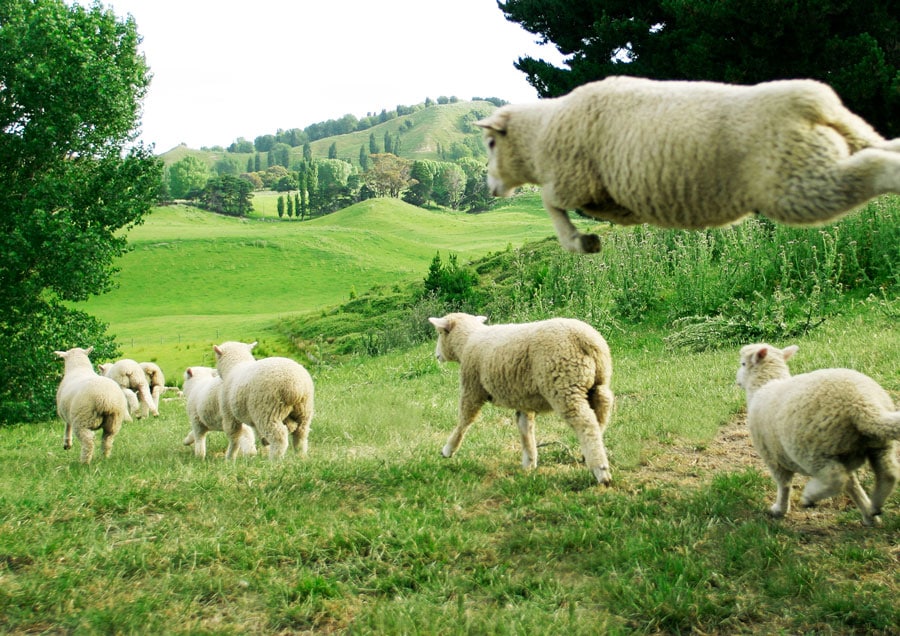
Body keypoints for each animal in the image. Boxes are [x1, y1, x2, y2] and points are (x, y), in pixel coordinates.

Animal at [428, 314, 612, 486]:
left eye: (439, 333)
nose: (436, 356)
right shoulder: (523, 400)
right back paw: (588, 454)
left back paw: (600, 470)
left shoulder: (472, 388)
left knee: (586, 423)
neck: (467, 341)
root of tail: (587, 339)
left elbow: (465, 420)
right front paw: (529, 463)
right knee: (602, 410)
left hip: (564, 385)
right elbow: (525, 429)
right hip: (598, 383)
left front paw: (448, 449)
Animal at [482, 75, 900, 253]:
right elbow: (552, 202)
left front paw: (579, 241)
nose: (490, 189)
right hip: (842, 142)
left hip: (797, 184)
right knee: (885, 147)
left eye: (489, 143)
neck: (541, 133)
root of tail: (814, 101)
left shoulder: (573, 179)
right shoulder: (612, 201)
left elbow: (548, 201)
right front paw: (583, 239)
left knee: (876, 164)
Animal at [740, 342, 900, 528]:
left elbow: (784, 485)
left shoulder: (773, 458)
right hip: (878, 444)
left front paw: (779, 509)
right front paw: (869, 516)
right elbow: (853, 486)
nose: (737, 381)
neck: (764, 385)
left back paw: (809, 497)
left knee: (836, 479)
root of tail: (863, 405)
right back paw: (874, 506)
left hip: (815, 450)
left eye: (742, 364)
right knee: (888, 473)